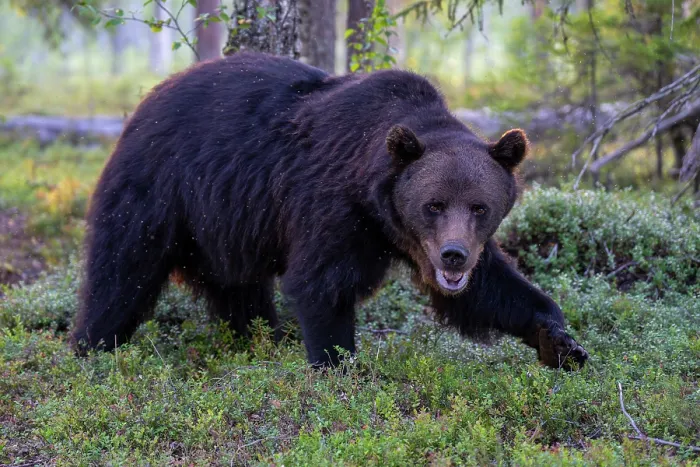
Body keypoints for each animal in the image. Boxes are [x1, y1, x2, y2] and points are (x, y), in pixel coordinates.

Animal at [71, 52, 588, 370]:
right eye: (433, 204)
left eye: (480, 206)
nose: (453, 256)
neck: (380, 211)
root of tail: (145, 101)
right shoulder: (333, 206)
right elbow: (322, 284)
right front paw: (338, 363)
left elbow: (491, 289)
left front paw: (560, 341)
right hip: (161, 189)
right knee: (122, 270)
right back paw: (91, 347)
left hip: (224, 223)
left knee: (238, 288)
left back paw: (263, 338)